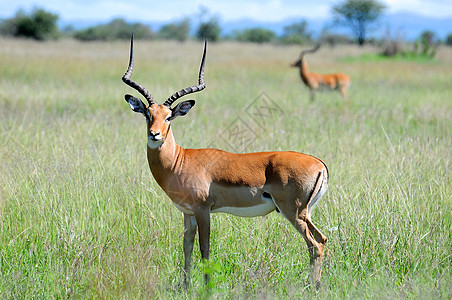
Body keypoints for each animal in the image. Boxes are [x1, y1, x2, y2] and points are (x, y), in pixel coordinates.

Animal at [122, 35, 330, 288]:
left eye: (169, 117)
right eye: (147, 115)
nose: (155, 135)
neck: (179, 161)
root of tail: (319, 164)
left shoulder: (203, 210)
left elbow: (205, 249)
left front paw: (207, 286)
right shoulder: (187, 213)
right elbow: (187, 249)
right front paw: (185, 287)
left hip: (294, 211)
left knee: (315, 243)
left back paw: (312, 287)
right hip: (304, 213)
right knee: (321, 239)